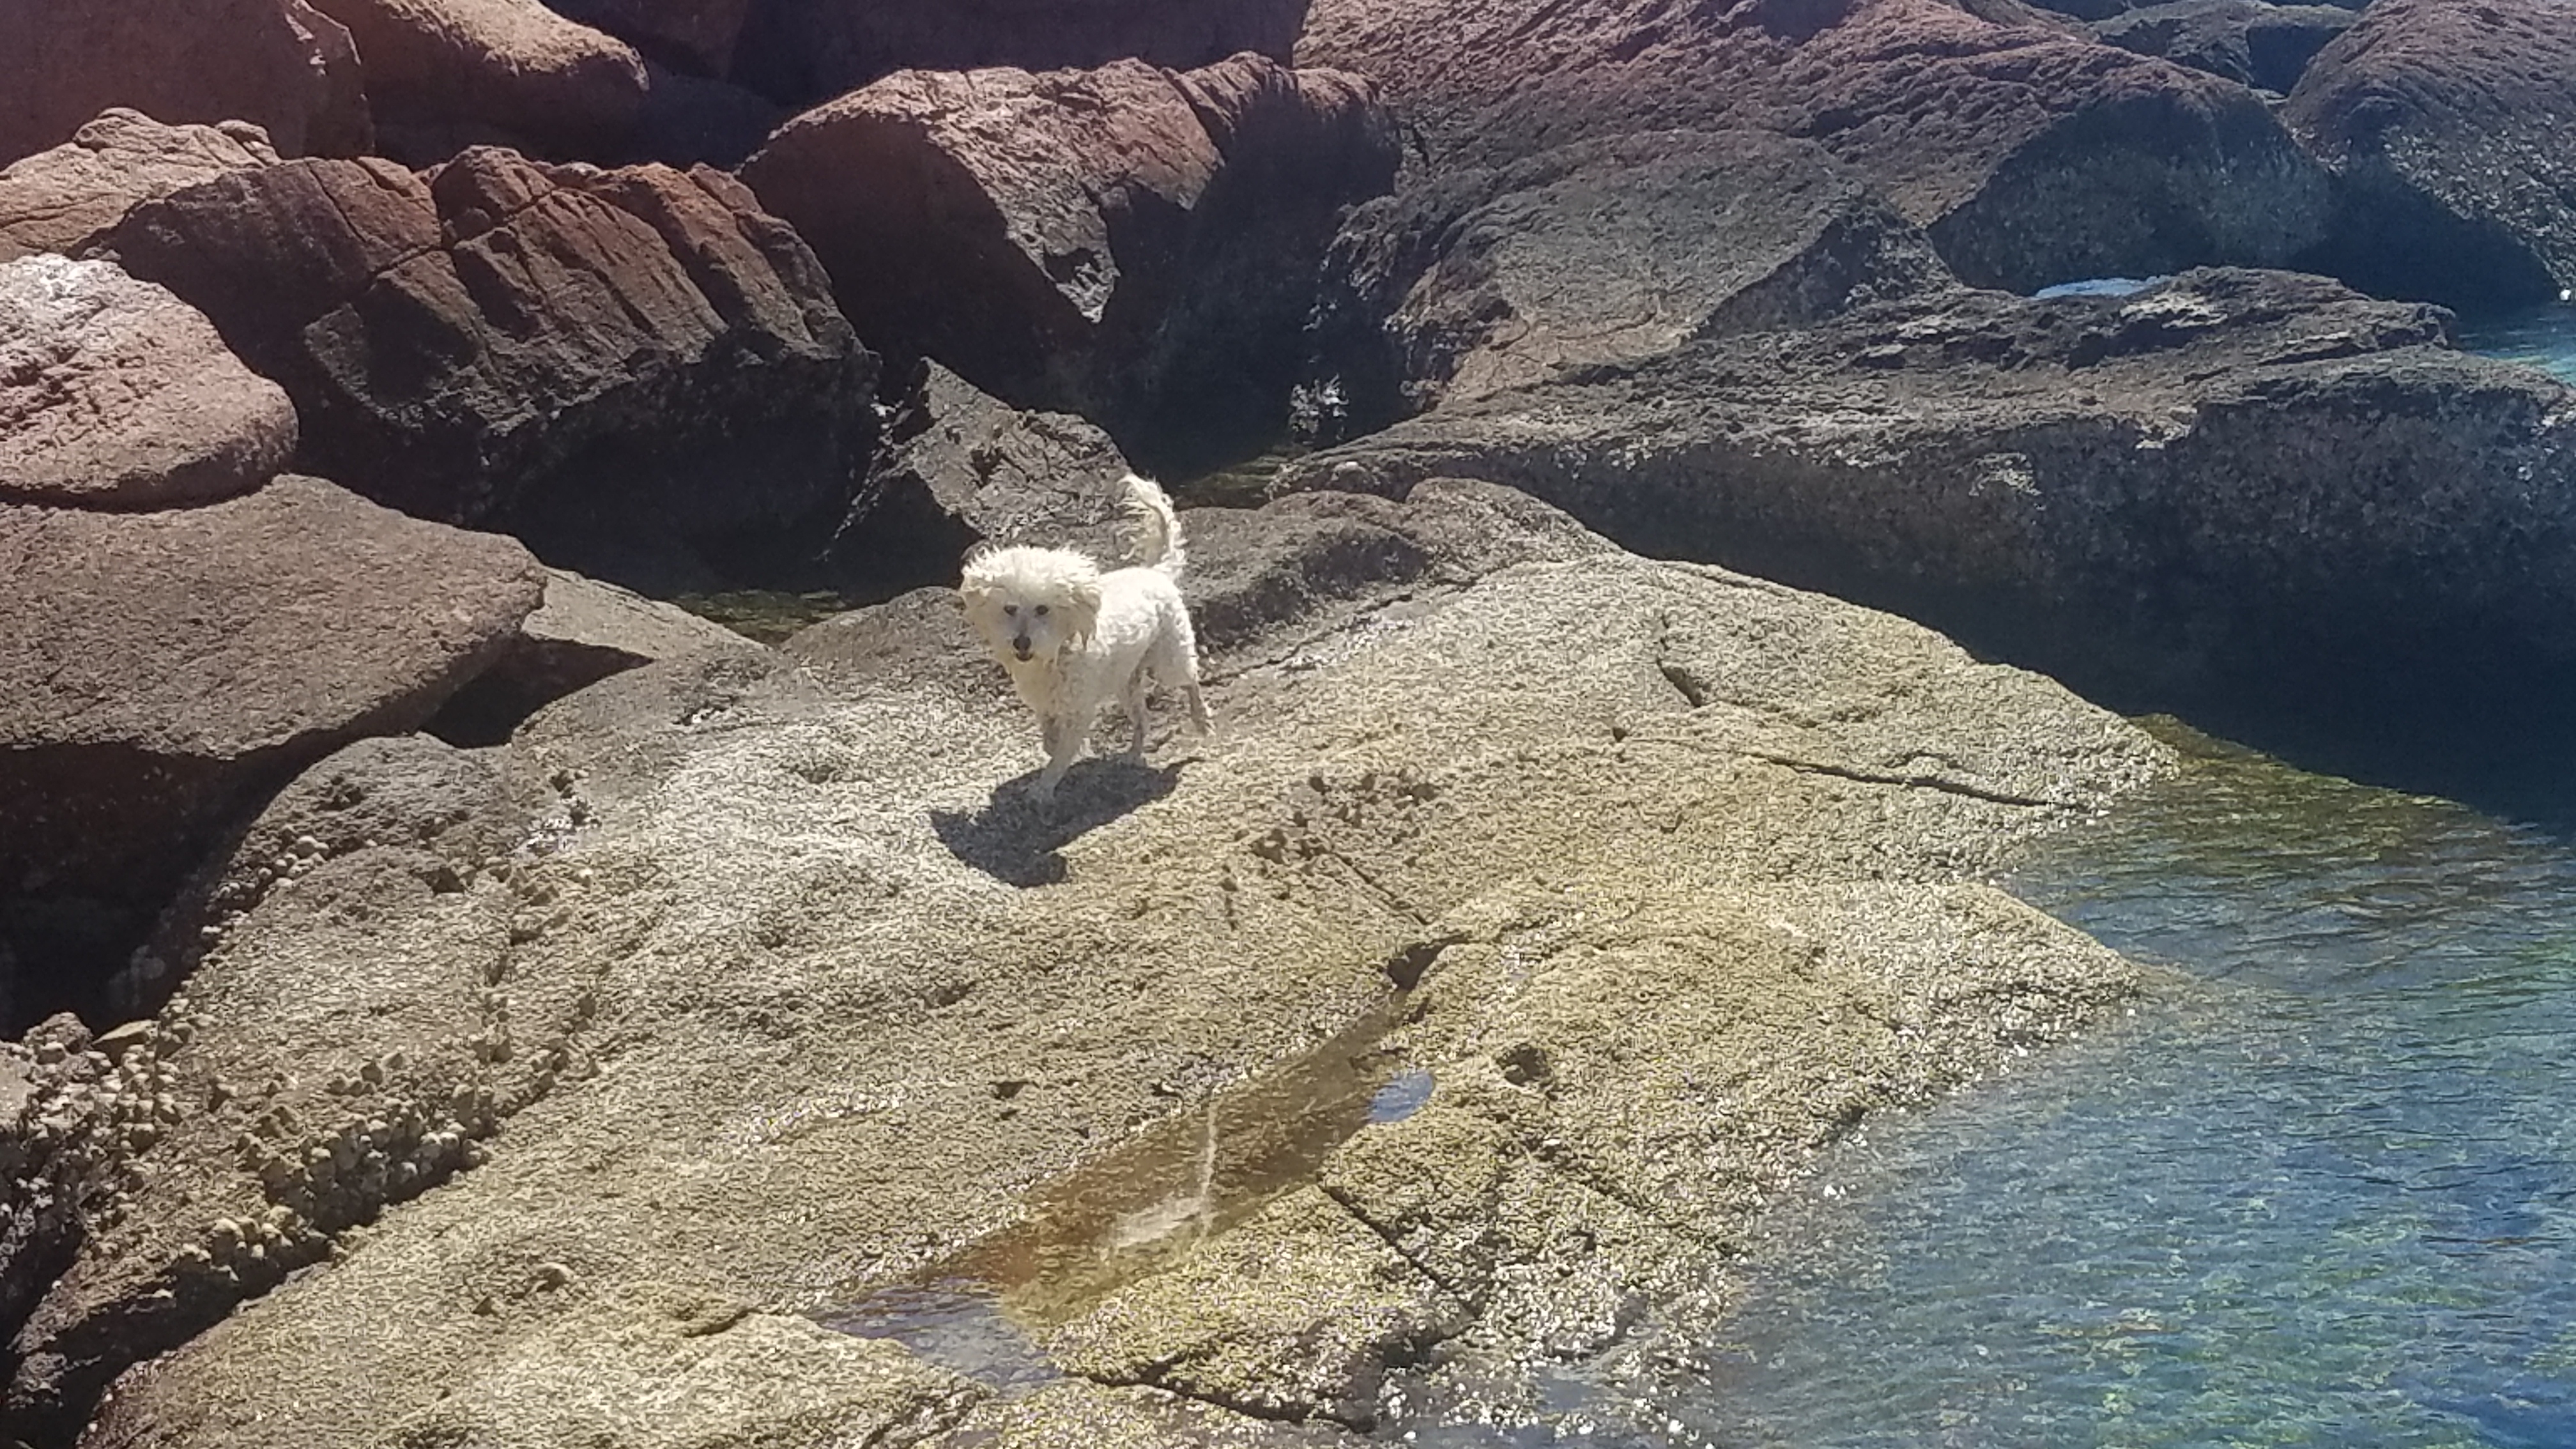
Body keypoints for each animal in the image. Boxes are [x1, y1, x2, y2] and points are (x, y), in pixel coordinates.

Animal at [963, 471, 1211, 799]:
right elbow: (1050, 741)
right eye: (1010, 609)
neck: (1055, 656)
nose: (1021, 643)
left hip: (1168, 658)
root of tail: (1156, 572)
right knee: (1142, 719)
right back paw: (1134, 754)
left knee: (1190, 678)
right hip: (1126, 682)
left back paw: (1201, 719)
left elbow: (1061, 754)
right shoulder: (1046, 706)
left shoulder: (1079, 711)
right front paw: (1057, 752)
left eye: (1043, 609)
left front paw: (1043, 788)